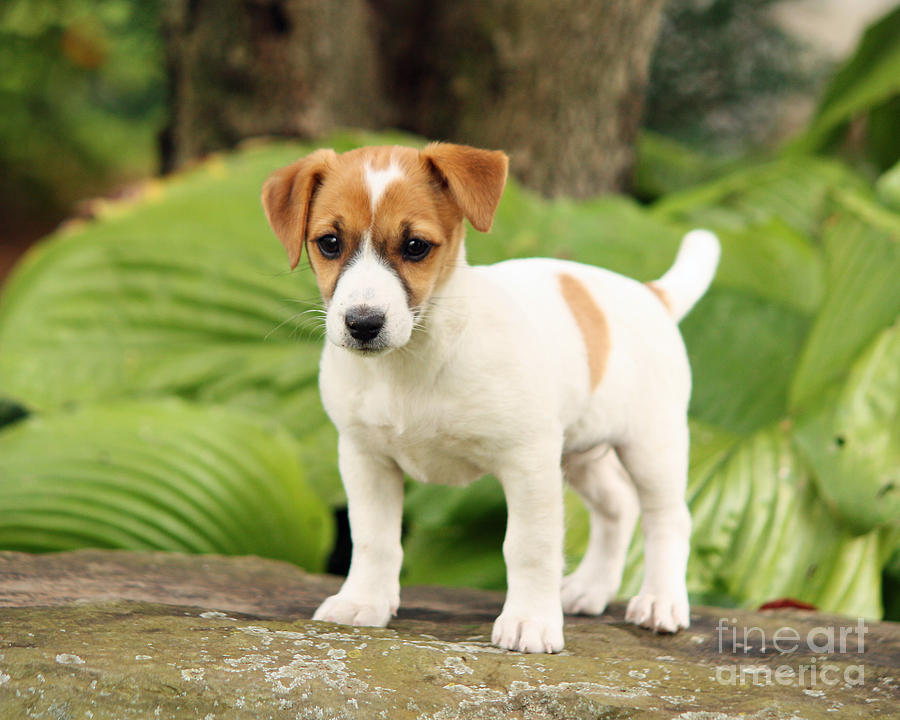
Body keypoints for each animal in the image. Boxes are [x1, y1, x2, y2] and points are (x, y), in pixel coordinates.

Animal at [260, 141, 716, 652]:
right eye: (329, 243)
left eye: (415, 246)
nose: (363, 323)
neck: (413, 363)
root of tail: (651, 294)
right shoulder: (364, 458)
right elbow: (374, 538)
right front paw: (363, 602)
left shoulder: (528, 462)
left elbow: (529, 546)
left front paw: (530, 621)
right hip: (580, 452)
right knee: (618, 507)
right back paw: (589, 589)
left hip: (652, 445)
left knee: (667, 518)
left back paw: (660, 601)